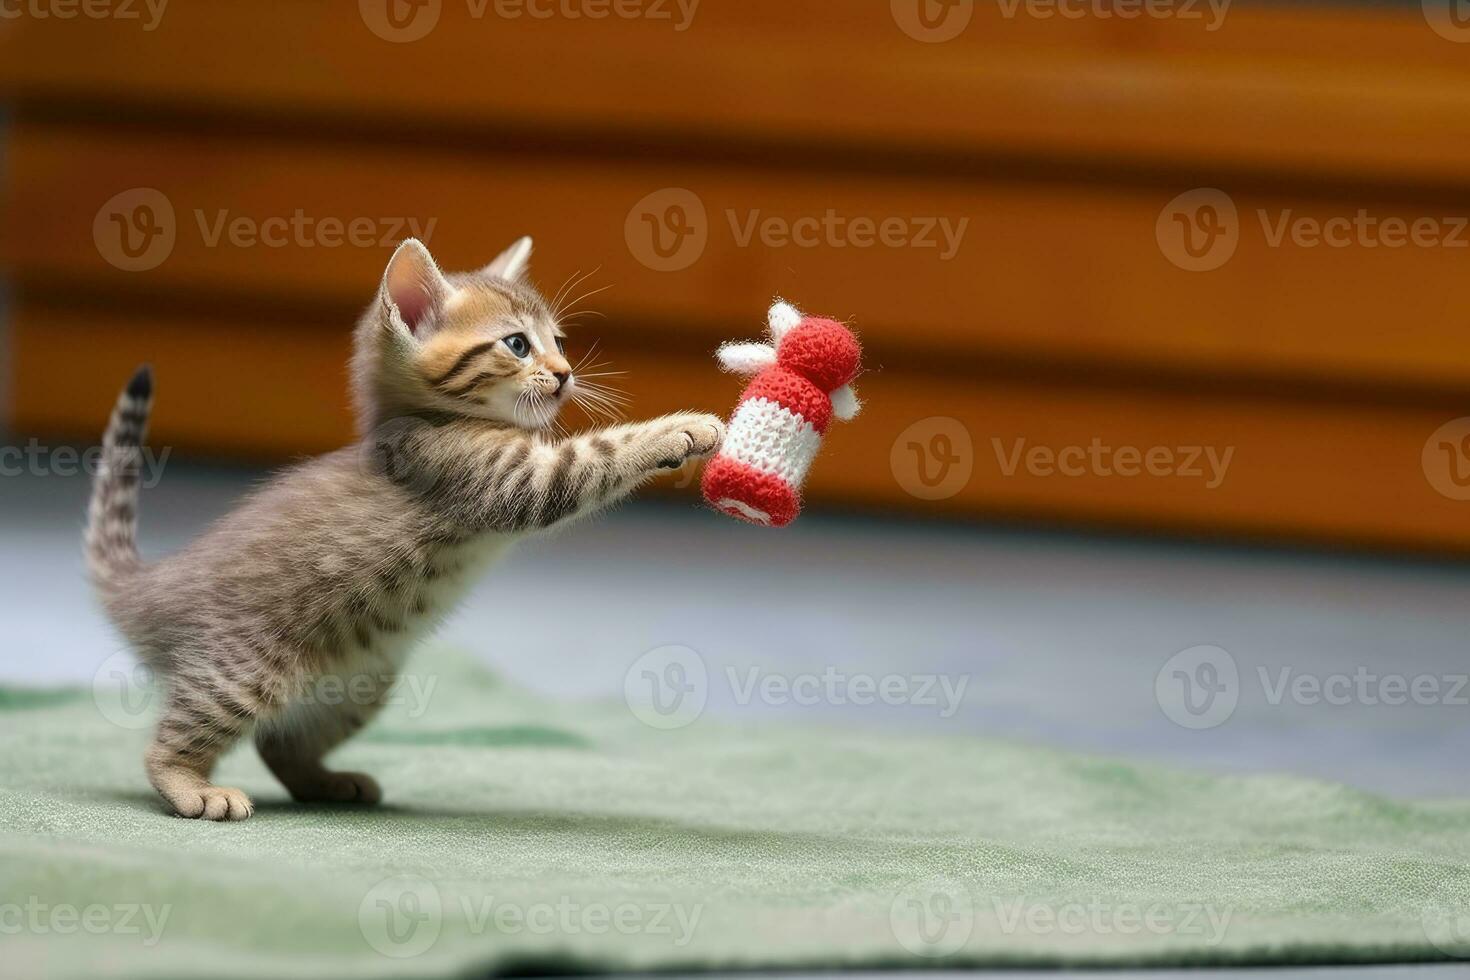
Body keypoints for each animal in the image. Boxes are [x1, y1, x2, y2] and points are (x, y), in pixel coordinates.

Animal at [83, 238, 726, 822]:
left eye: (559, 342)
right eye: (518, 344)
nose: (566, 374)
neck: (423, 419)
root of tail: (153, 586)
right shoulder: (512, 479)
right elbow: (599, 454)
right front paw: (684, 428)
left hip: (360, 685)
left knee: (278, 743)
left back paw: (325, 781)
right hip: (240, 672)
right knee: (174, 742)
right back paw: (191, 786)